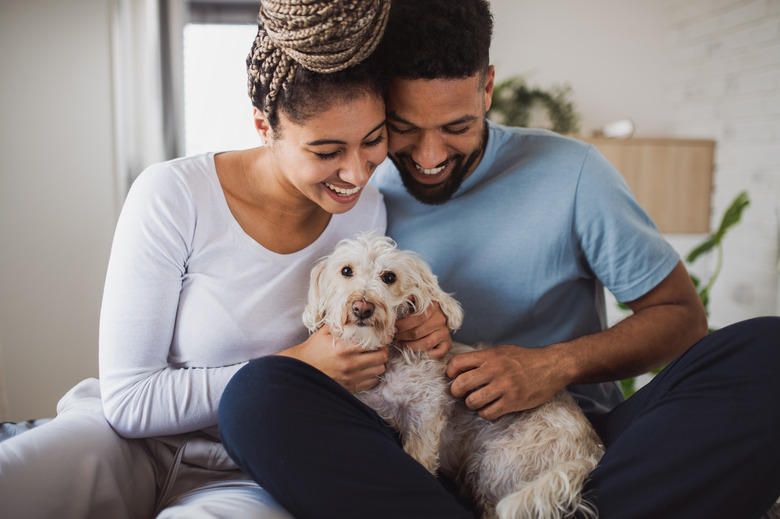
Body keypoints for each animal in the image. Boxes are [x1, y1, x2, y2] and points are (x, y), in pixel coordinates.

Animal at [304, 236, 604, 519]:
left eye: (389, 277)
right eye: (346, 271)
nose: (362, 307)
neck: (387, 359)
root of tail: (591, 452)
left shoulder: (424, 415)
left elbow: (419, 458)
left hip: (495, 465)